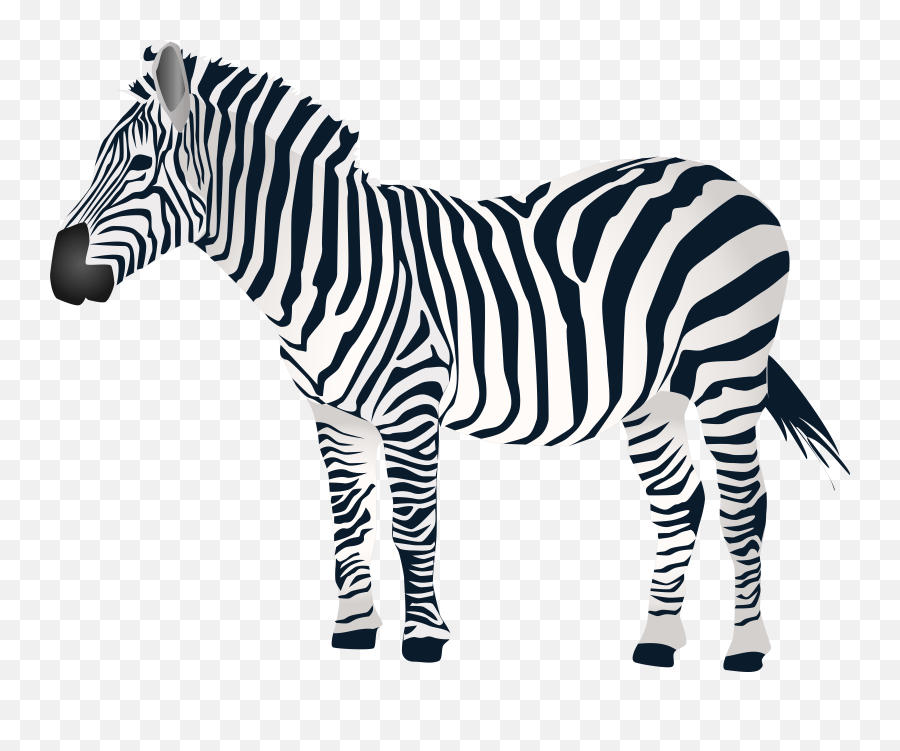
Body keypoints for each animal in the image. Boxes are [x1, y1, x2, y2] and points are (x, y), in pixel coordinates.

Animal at [51, 42, 847, 671]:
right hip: (655, 390)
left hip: (728, 369)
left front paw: (422, 637)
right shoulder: (333, 414)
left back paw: (746, 647)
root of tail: (724, 179)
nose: (62, 278)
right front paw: (354, 630)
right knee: (679, 499)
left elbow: (412, 522)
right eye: (96, 162)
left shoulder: (412, 403)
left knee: (745, 502)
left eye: (142, 166)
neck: (326, 264)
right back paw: (656, 639)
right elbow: (348, 521)